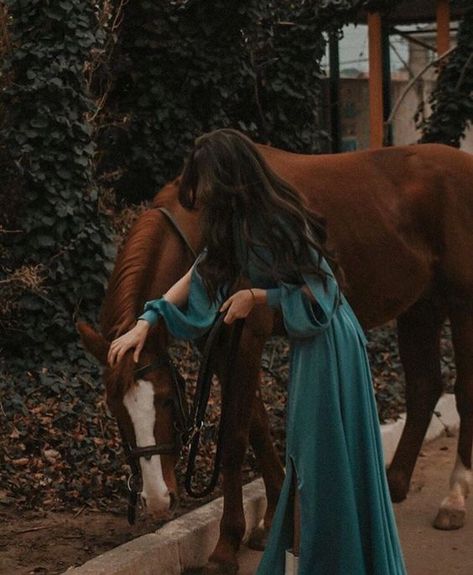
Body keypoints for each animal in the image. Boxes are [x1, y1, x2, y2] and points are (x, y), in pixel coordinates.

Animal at [79, 144, 472, 575]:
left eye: (167, 399)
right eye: (116, 409)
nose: (157, 496)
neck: (200, 228)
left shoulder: (245, 335)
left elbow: (235, 437)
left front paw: (226, 545)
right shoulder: (219, 345)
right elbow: (257, 424)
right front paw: (270, 523)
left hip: (461, 304)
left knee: (463, 391)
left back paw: (454, 497)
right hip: (421, 306)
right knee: (424, 387)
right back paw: (397, 481)